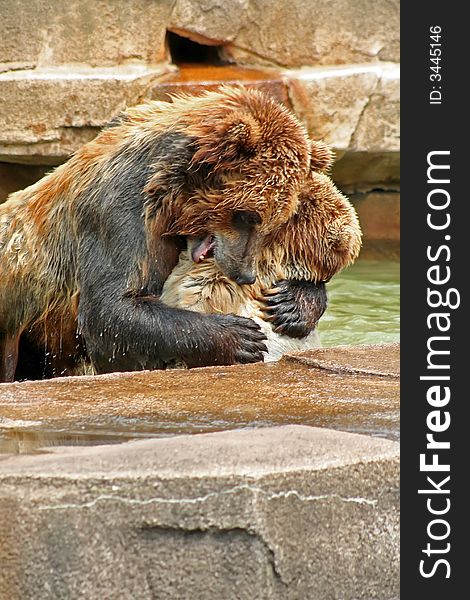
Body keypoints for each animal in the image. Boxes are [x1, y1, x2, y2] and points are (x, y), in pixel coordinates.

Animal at [0, 86, 320, 382]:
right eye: (248, 215)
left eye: (275, 221)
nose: (246, 274)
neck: (171, 199)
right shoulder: (120, 213)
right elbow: (112, 308)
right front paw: (240, 337)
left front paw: (292, 303)